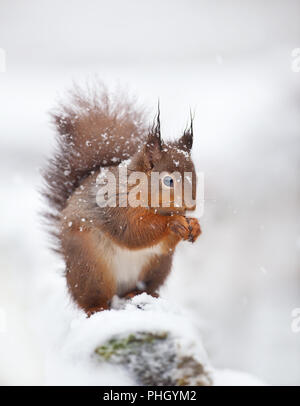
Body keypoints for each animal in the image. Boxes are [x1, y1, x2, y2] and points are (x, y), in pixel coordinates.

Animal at [42, 84, 202, 316]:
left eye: (195, 174)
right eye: (169, 180)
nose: (192, 205)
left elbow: (163, 243)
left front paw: (195, 226)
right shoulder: (114, 204)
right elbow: (132, 231)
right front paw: (173, 223)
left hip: (157, 266)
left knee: (142, 286)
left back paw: (140, 293)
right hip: (91, 268)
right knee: (91, 298)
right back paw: (96, 307)